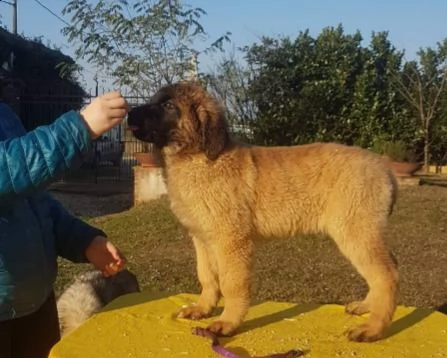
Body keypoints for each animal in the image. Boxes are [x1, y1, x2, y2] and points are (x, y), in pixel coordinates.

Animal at [128, 81, 400, 342]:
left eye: (168, 106)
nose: (129, 114)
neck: (198, 159)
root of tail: (385, 168)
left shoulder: (232, 241)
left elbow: (232, 283)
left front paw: (227, 323)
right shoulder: (202, 238)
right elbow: (207, 276)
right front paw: (203, 309)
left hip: (355, 231)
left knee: (385, 274)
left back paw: (372, 328)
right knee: (386, 269)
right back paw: (366, 307)